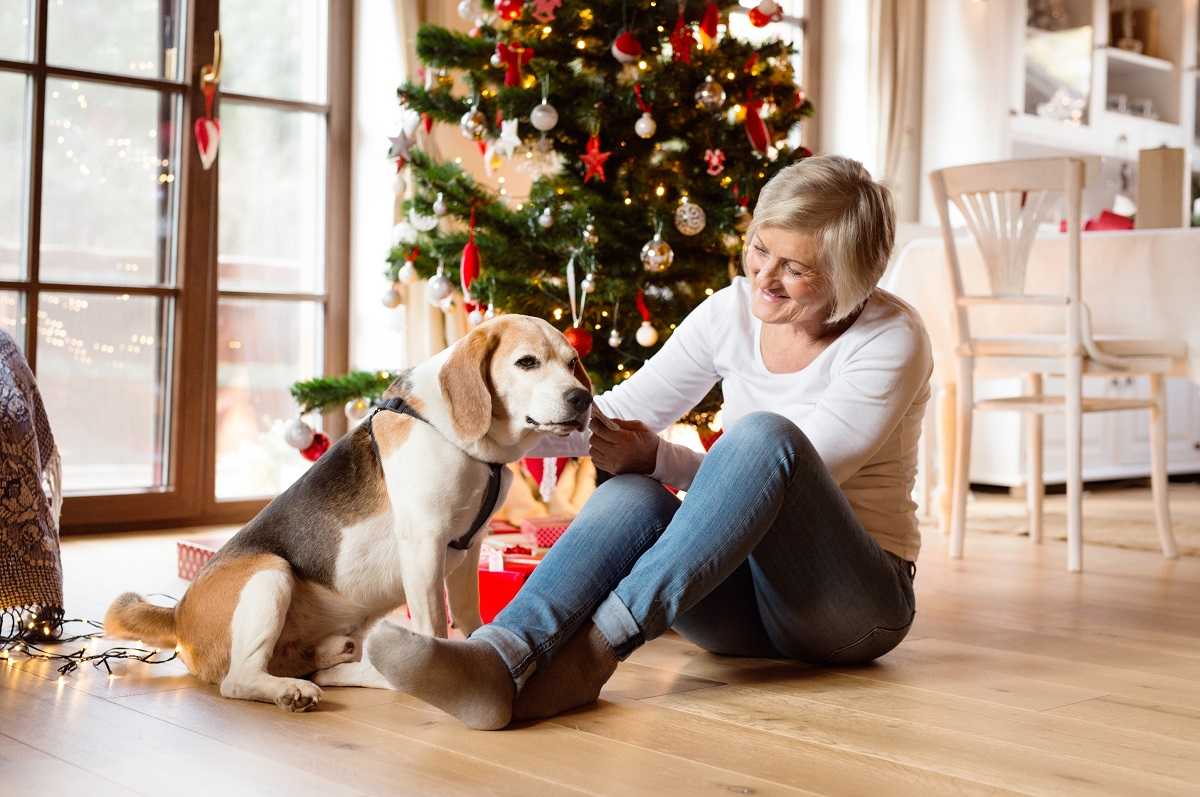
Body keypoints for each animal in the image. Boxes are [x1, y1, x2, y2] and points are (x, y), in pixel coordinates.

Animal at [105, 314, 592, 710]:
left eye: (572, 363)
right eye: (526, 362)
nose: (581, 398)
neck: (469, 445)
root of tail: (178, 613)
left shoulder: (469, 549)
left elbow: (469, 614)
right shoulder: (425, 544)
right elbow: (435, 624)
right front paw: (443, 670)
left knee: (323, 666)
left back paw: (345, 663)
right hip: (269, 573)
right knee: (239, 680)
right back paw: (293, 690)